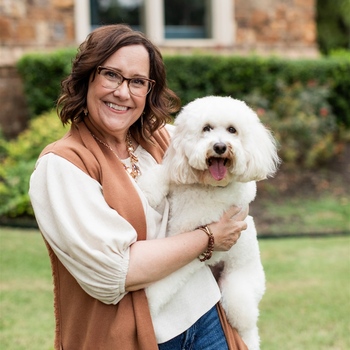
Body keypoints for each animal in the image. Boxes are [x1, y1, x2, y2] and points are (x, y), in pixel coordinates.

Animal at [138, 96, 280, 350]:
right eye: (206, 128)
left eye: (232, 130)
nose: (220, 147)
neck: (206, 186)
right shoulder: (177, 173)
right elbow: (164, 172)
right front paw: (147, 190)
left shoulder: (196, 248)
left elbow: (168, 279)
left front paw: (150, 302)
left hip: (238, 295)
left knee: (247, 325)